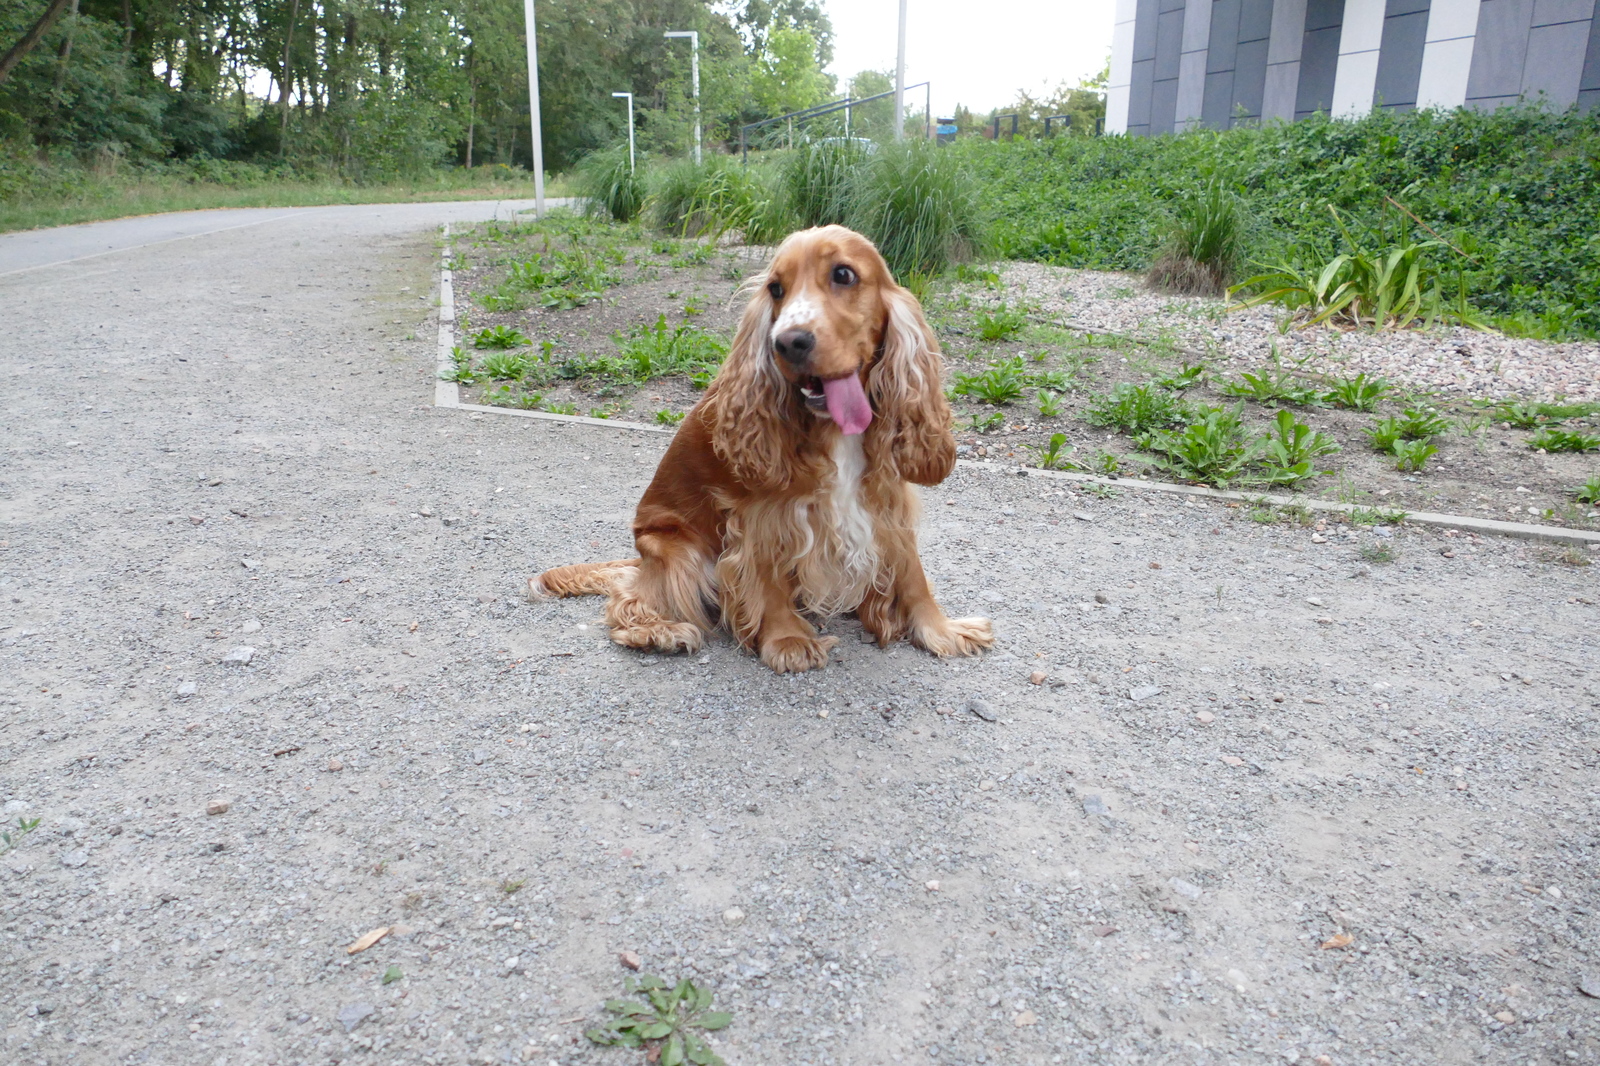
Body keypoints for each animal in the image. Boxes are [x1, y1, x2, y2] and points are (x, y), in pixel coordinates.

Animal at [531, 224, 992, 672]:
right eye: (775, 288)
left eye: (843, 274)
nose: (788, 342)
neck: (831, 429)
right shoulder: (760, 515)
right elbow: (767, 577)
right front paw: (787, 640)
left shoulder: (887, 497)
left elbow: (913, 572)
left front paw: (941, 630)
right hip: (675, 550)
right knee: (629, 598)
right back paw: (659, 632)